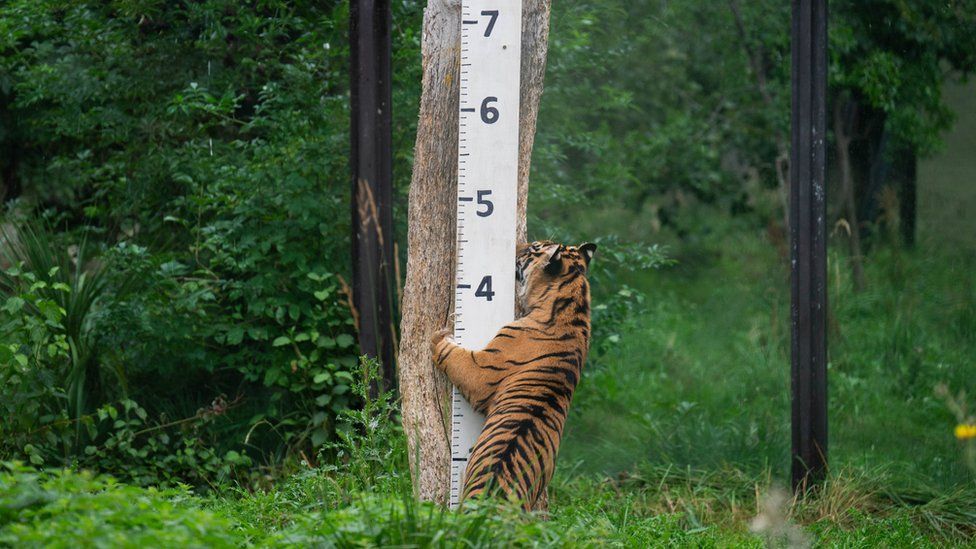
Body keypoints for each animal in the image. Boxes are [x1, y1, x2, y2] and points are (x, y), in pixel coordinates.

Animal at [428, 240, 596, 510]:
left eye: (533, 247)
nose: (516, 245)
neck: (574, 303)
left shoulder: (482, 371)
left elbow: (453, 355)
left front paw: (440, 336)